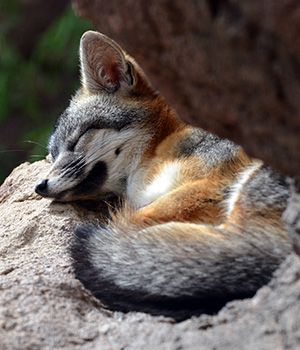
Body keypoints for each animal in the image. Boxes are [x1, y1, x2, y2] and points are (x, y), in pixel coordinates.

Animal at [34, 31, 290, 318]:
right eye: (53, 155)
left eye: (77, 141)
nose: (39, 186)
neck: (160, 146)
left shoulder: (213, 184)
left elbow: (138, 220)